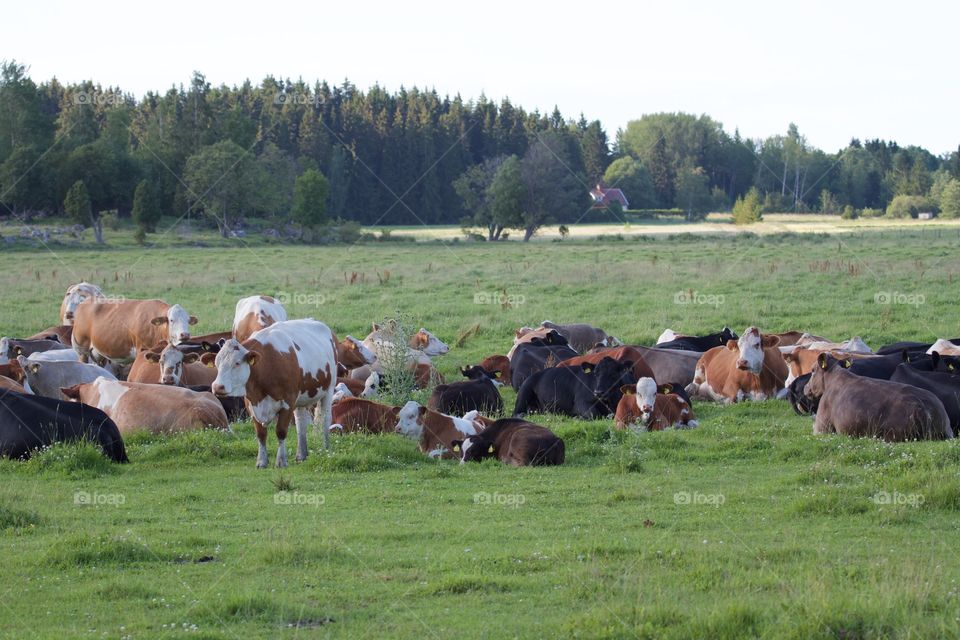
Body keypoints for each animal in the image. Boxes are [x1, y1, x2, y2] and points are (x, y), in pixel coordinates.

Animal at [205, 318, 338, 464]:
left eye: (237, 363)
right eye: (216, 364)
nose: (217, 387)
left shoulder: (288, 402)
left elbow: (281, 431)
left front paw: (281, 461)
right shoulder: (251, 404)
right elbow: (261, 434)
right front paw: (262, 461)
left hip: (329, 389)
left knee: (325, 419)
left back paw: (326, 450)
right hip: (301, 398)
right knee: (301, 423)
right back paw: (301, 454)